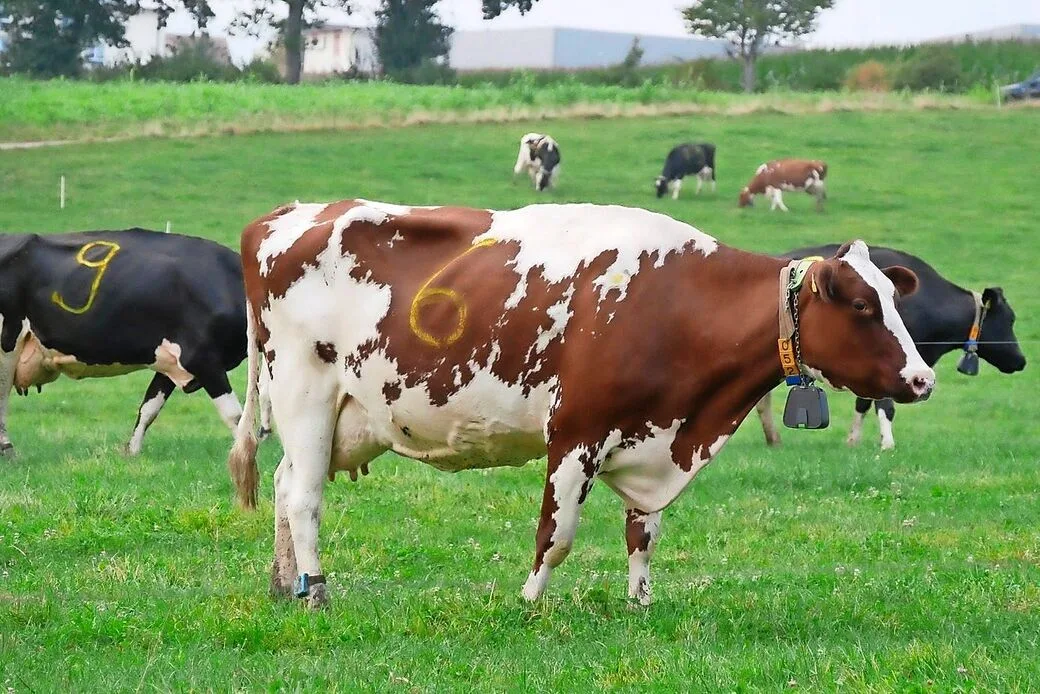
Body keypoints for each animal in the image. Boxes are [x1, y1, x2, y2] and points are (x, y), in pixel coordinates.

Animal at [0, 229, 271, 457]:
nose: (268, 433)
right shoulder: (203, 359)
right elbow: (235, 415)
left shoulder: (170, 362)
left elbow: (148, 408)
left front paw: (131, 452)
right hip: (7, 344)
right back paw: (8, 450)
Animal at [227, 199, 935, 609]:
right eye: (863, 307)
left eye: (891, 300)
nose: (923, 379)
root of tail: (287, 214)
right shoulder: (575, 430)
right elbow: (557, 533)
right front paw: (530, 601)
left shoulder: (656, 437)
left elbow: (643, 531)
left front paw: (639, 602)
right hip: (305, 391)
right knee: (303, 496)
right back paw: (315, 590)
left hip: (336, 416)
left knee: (287, 482)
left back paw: (282, 585)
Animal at [756, 244, 1025, 450]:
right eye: (1009, 319)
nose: (1021, 360)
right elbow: (885, 406)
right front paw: (887, 444)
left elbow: (863, 403)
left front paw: (853, 440)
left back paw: (773, 440)